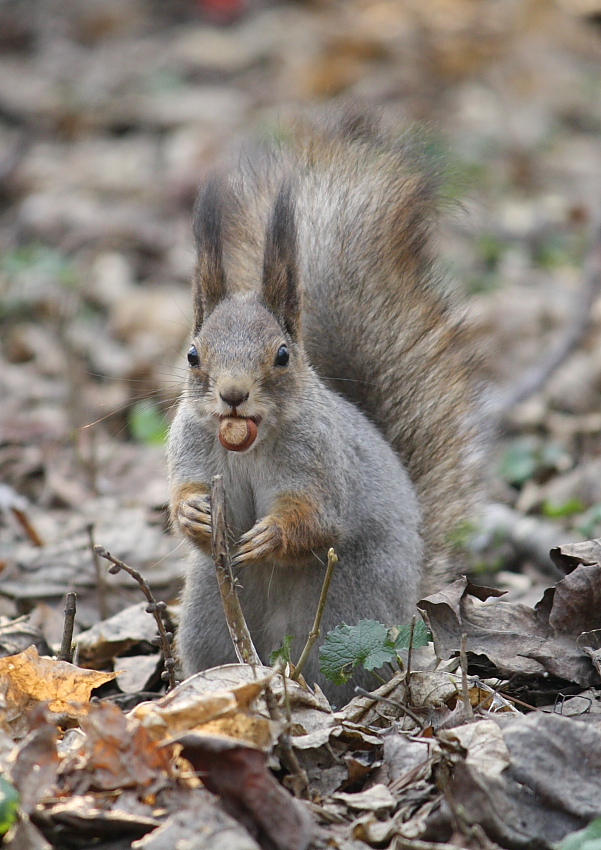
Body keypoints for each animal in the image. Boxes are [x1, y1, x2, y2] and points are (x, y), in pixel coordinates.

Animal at [166, 109, 480, 700]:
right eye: (194, 354)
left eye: (282, 355)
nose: (233, 395)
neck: (250, 443)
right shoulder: (190, 447)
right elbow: (183, 498)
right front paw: (193, 512)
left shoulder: (323, 463)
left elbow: (317, 517)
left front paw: (272, 534)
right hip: (208, 617)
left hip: (347, 612)